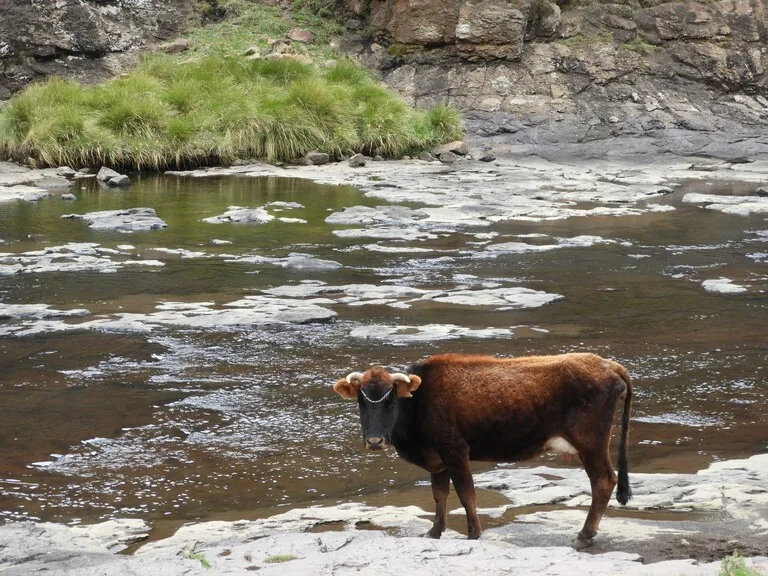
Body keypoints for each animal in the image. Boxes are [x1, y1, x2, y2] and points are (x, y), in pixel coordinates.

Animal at [332, 354, 632, 544]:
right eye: (361, 400)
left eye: (391, 400)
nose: (374, 441)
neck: (421, 398)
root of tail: (608, 365)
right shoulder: (437, 461)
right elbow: (439, 496)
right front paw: (434, 532)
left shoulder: (456, 451)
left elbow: (466, 494)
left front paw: (474, 533)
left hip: (591, 444)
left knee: (604, 481)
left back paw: (585, 534)